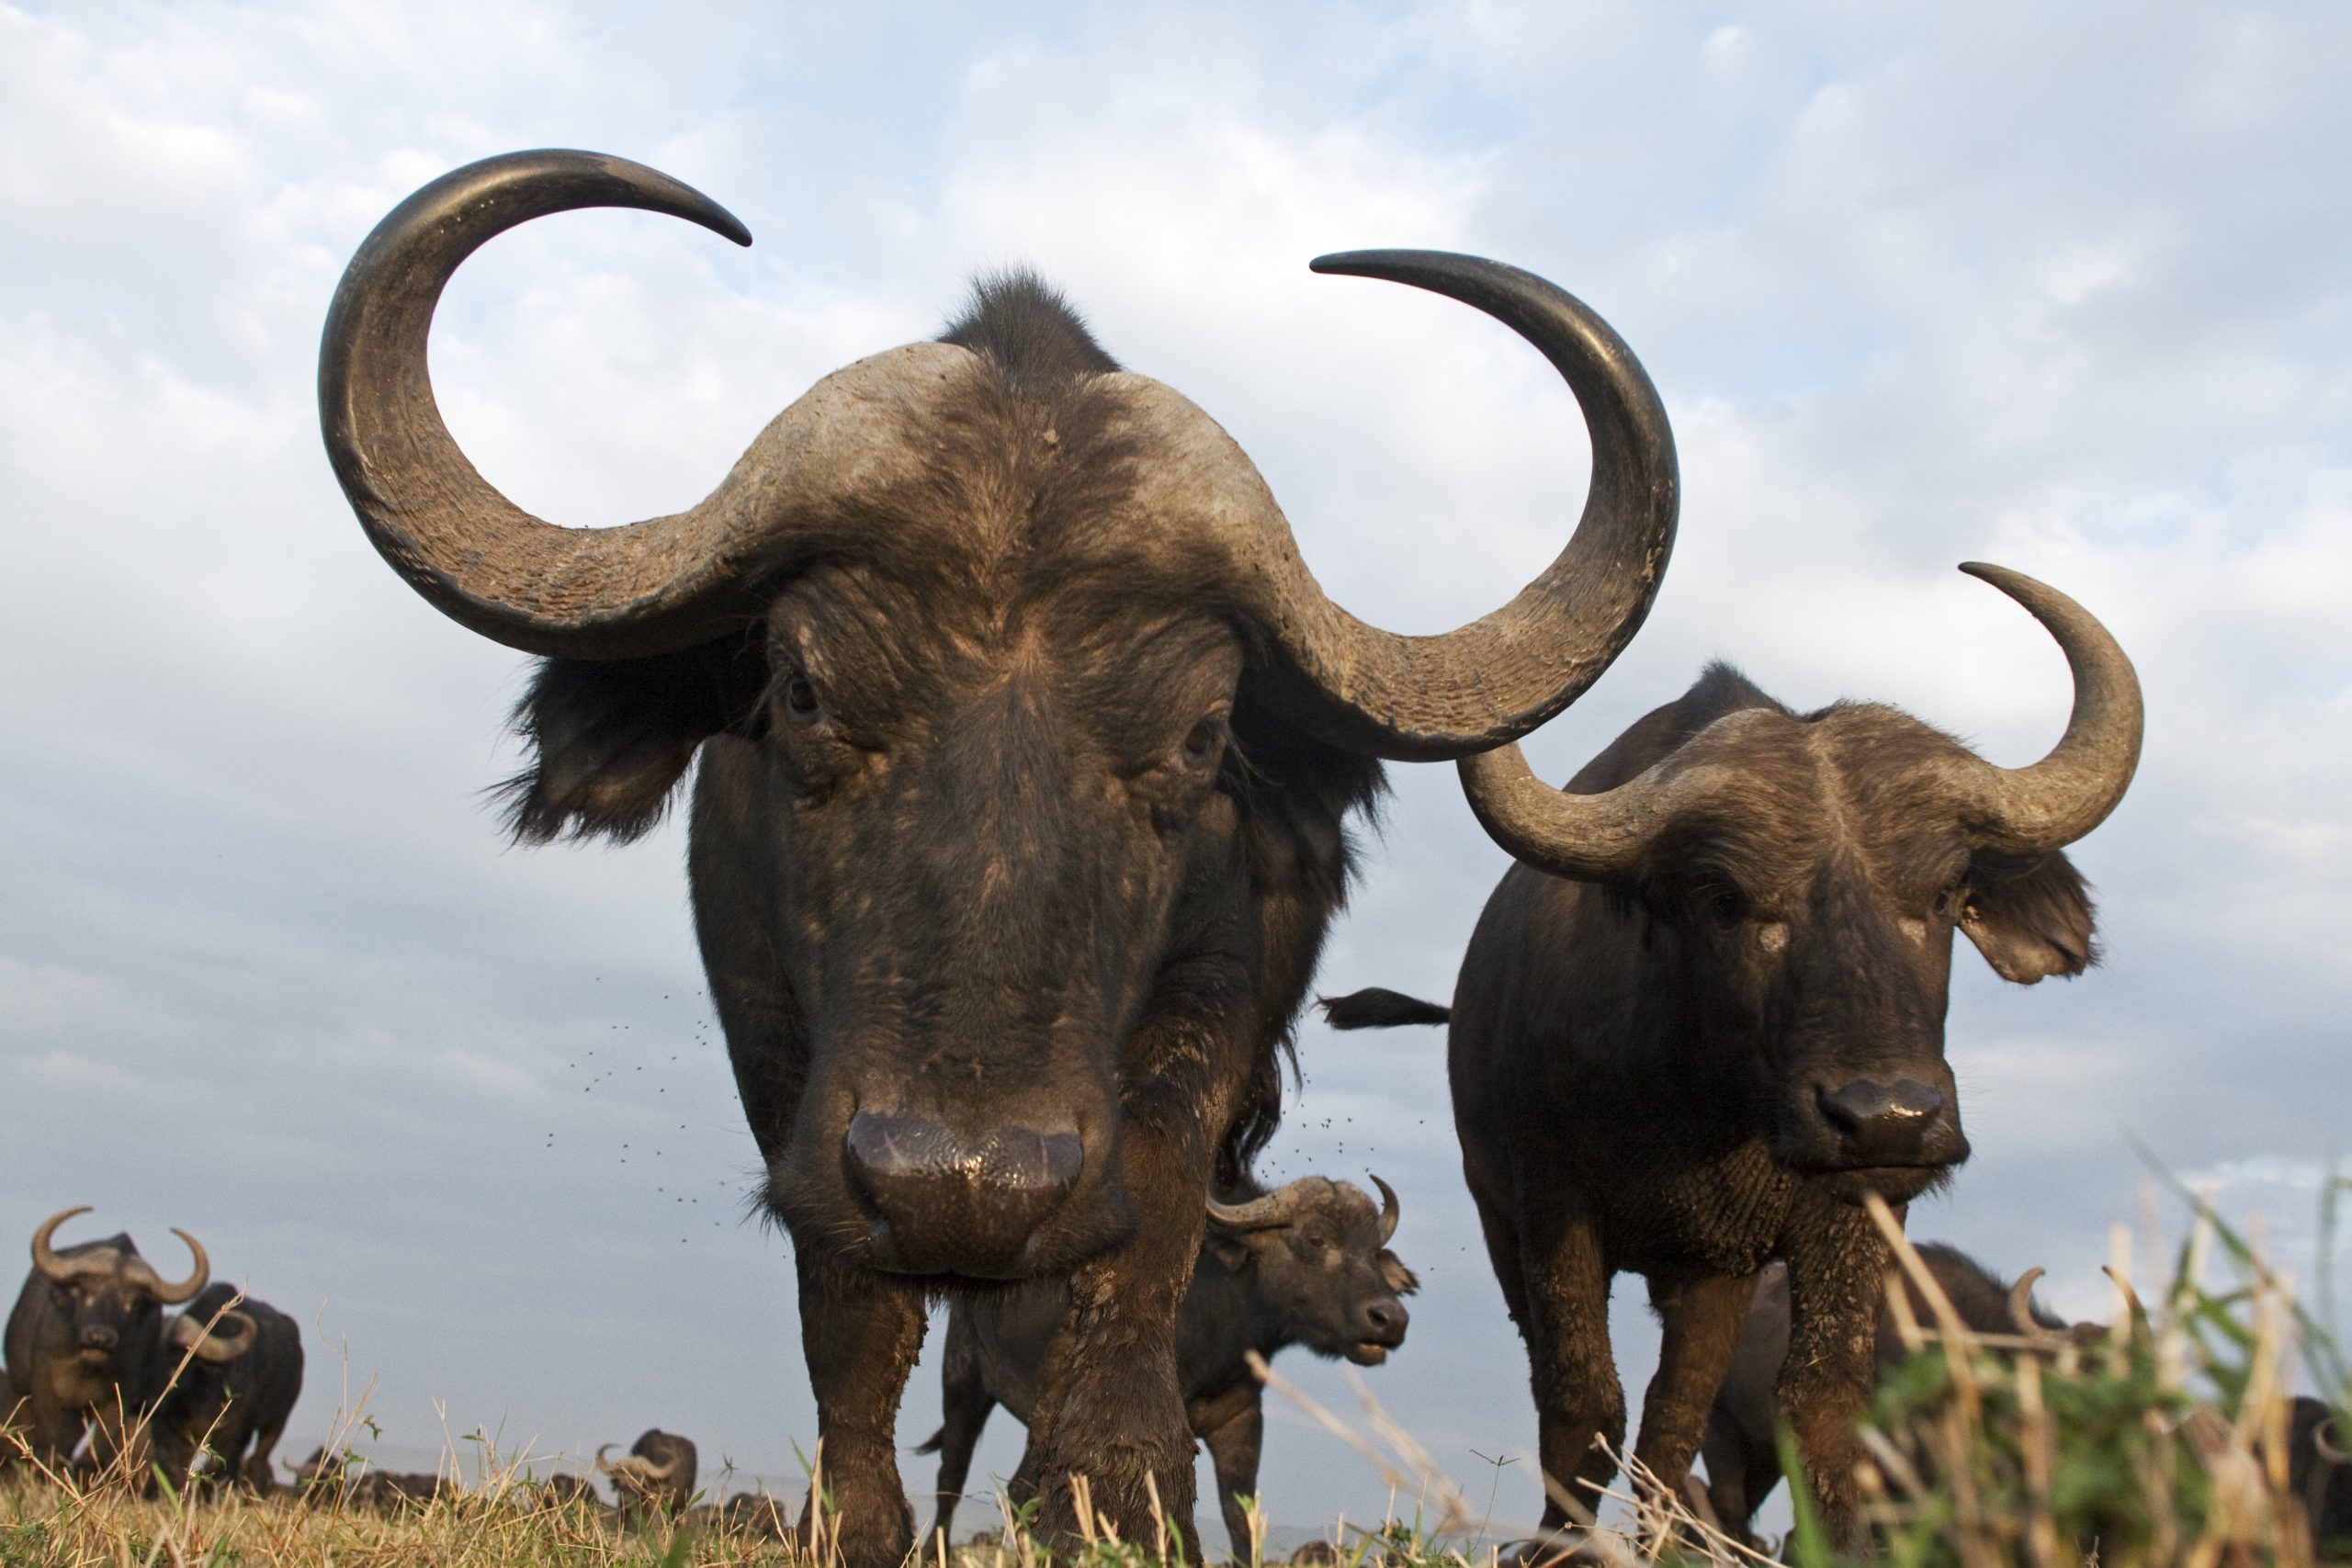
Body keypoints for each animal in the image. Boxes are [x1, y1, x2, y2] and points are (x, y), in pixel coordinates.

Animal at [3, 1207, 211, 1467]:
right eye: (86, 1293)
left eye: (132, 1303)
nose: (99, 1338)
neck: (85, 1369)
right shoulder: (46, 1395)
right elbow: (53, 1445)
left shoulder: (117, 1401)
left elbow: (104, 1447)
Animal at [145, 1282, 304, 1495]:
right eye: (148, 1356)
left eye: (176, 1360)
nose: (151, 1398)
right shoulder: (173, 1430)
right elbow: (174, 1464)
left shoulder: (229, 1431)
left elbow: (215, 1466)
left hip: (278, 1420)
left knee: (258, 1458)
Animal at [919, 1176, 1416, 1555]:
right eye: (1315, 1239)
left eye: (1374, 1252)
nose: (1390, 1319)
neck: (1213, 1323)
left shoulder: (1240, 1424)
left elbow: (1239, 1517)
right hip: (964, 1383)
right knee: (955, 1478)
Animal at [1324, 568, 2141, 1541]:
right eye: (1723, 897)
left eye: (1945, 893)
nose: (1886, 1116)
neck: (1707, 1105)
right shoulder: (1551, 1203)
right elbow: (1581, 1402)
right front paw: (1561, 1545)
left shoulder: (1848, 1219)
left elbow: (1821, 1406)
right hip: (1507, 1222)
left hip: (1715, 1275)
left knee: (1675, 1419)